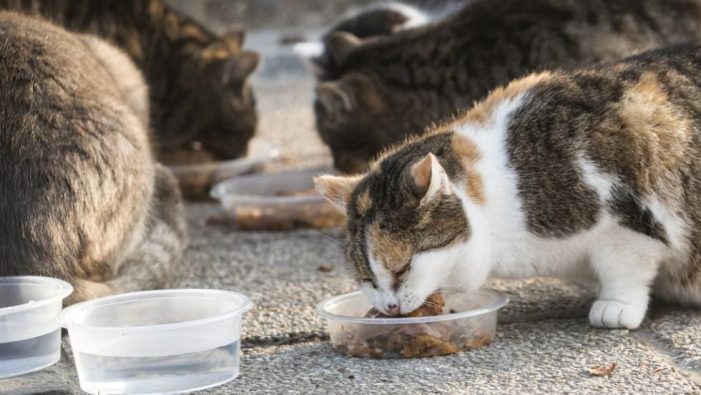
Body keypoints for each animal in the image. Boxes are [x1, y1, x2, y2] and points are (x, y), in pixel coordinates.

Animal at [318, 44, 701, 332]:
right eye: (366, 277)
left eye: (402, 267)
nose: (390, 307)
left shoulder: (625, 220)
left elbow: (626, 267)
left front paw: (616, 306)